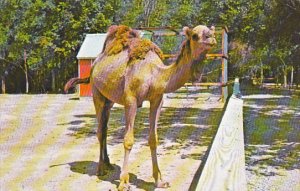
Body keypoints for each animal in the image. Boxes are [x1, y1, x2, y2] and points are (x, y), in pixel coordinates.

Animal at [65, 24, 216, 190]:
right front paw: (124, 182)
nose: (211, 38)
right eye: (195, 35)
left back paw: (108, 164)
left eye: (211, 31)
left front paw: (159, 180)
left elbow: (153, 138)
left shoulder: (157, 100)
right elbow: (128, 140)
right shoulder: (130, 100)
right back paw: (100, 169)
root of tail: (95, 63)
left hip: (109, 100)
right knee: (100, 131)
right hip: (97, 93)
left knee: (104, 128)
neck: (153, 73)